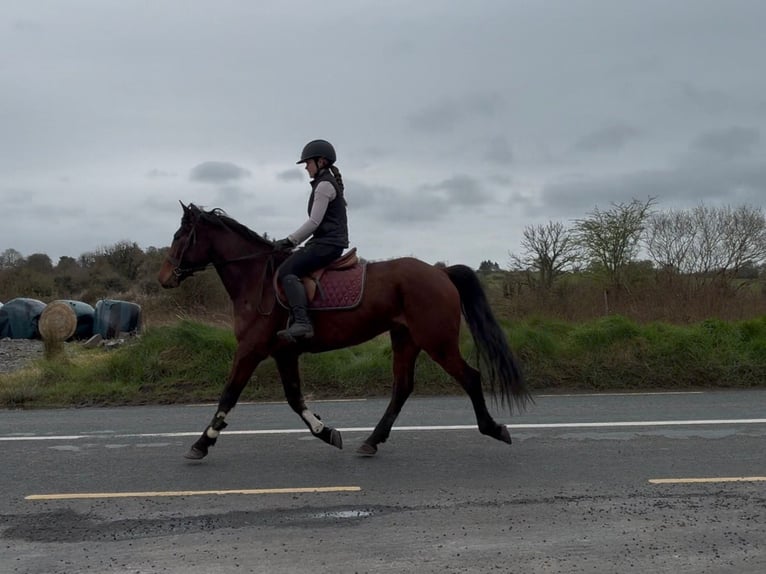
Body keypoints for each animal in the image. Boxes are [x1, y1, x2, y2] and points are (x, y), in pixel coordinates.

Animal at [157, 202, 532, 460]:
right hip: (406, 339)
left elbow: (229, 395)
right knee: (402, 388)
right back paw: (371, 441)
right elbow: (294, 398)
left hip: (436, 341)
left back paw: (494, 428)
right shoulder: (283, 352)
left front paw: (202, 443)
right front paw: (326, 432)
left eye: (179, 236)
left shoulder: (251, 349)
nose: (164, 277)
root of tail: (440, 272)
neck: (256, 279)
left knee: (469, 377)